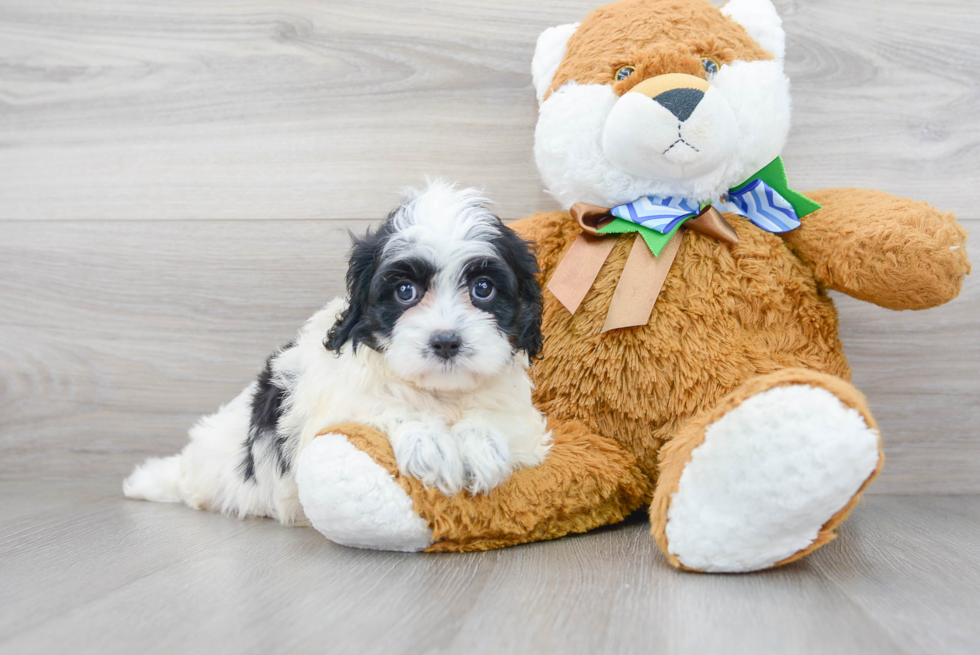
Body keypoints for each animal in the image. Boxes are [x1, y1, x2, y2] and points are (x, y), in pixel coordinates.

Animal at [123, 181, 552, 528]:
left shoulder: (524, 419)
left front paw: (480, 447)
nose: (445, 341)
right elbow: (379, 406)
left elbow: (501, 421)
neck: (440, 394)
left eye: (483, 289)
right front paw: (428, 441)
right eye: (405, 292)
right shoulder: (333, 407)